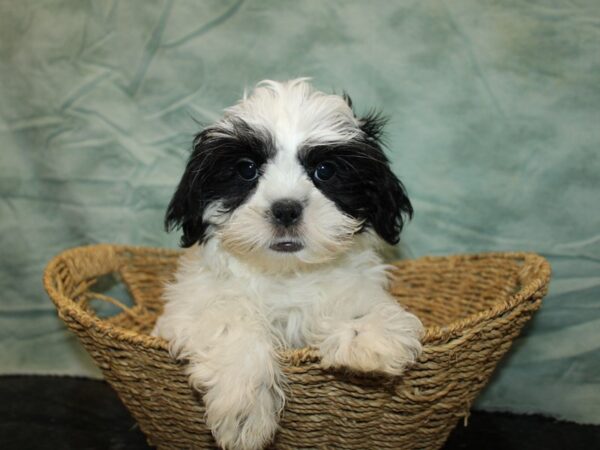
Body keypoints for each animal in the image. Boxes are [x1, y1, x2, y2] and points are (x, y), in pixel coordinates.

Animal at [152, 79, 424, 450]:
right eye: (247, 169)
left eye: (324, 171)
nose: (286, 209)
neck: (285, 272)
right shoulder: (189, 308)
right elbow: (229, 320)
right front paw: (245, 410)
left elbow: (354, 299)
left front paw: (367, 332)